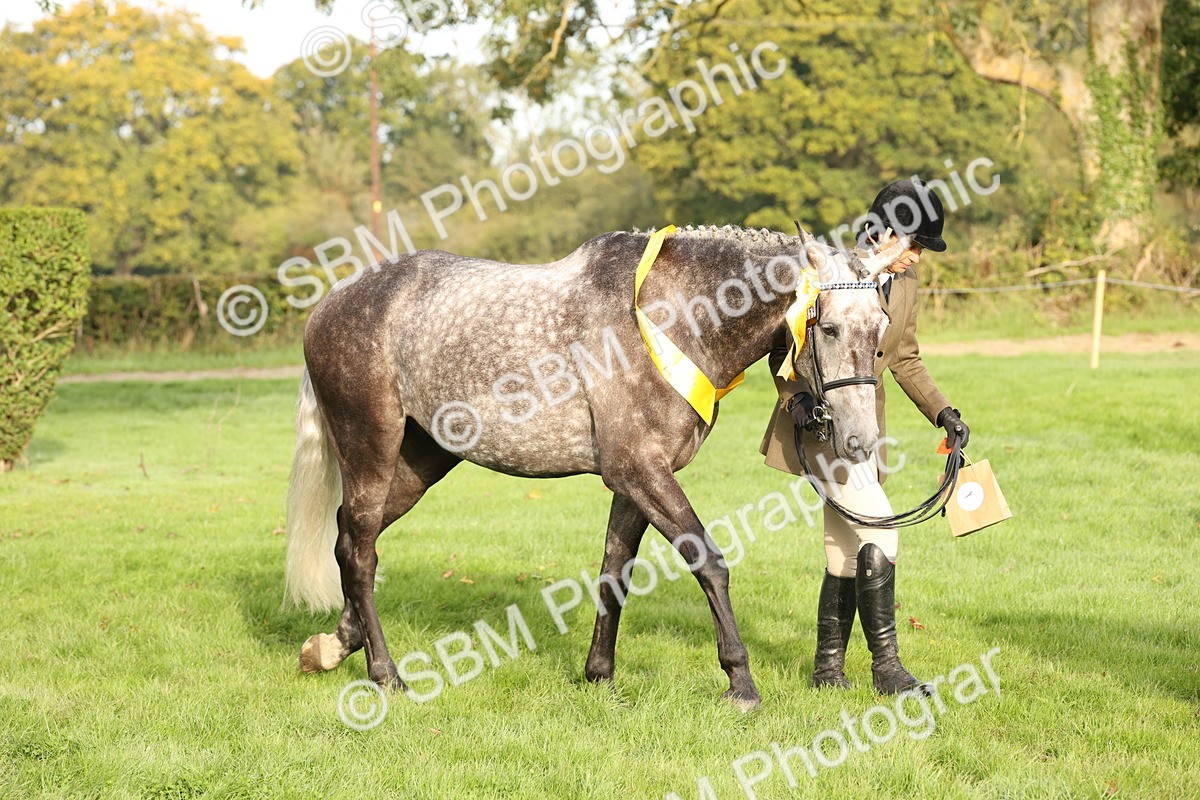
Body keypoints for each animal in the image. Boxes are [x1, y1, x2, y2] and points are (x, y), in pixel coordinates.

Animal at [283, 223, 908, 709]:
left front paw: (599, 676)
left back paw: (334, 647)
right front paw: (741, 683)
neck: (672, 315)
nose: (859, 441)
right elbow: (709, 562)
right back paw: (385, 674)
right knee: (359, 551)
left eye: (881, 330)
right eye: (828, 327)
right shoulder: (641, 471)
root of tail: (330, 303)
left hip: (420, 462)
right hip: (371, 448)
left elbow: (615, 571)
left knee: (349, 539)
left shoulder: (635, 483)